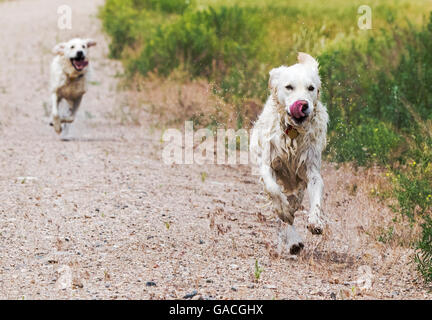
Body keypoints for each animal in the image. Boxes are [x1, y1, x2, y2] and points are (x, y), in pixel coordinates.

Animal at [250, 51, 328, 254]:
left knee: (295, 201)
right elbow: (274, 191)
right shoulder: (267, 165)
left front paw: (315, 222)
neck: (292, 133)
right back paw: (292, 239)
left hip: (298, 185)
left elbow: (316, 198)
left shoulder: (311, 171)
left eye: (311, 88)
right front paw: (283, 210)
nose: (302, 104)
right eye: (289, 87)